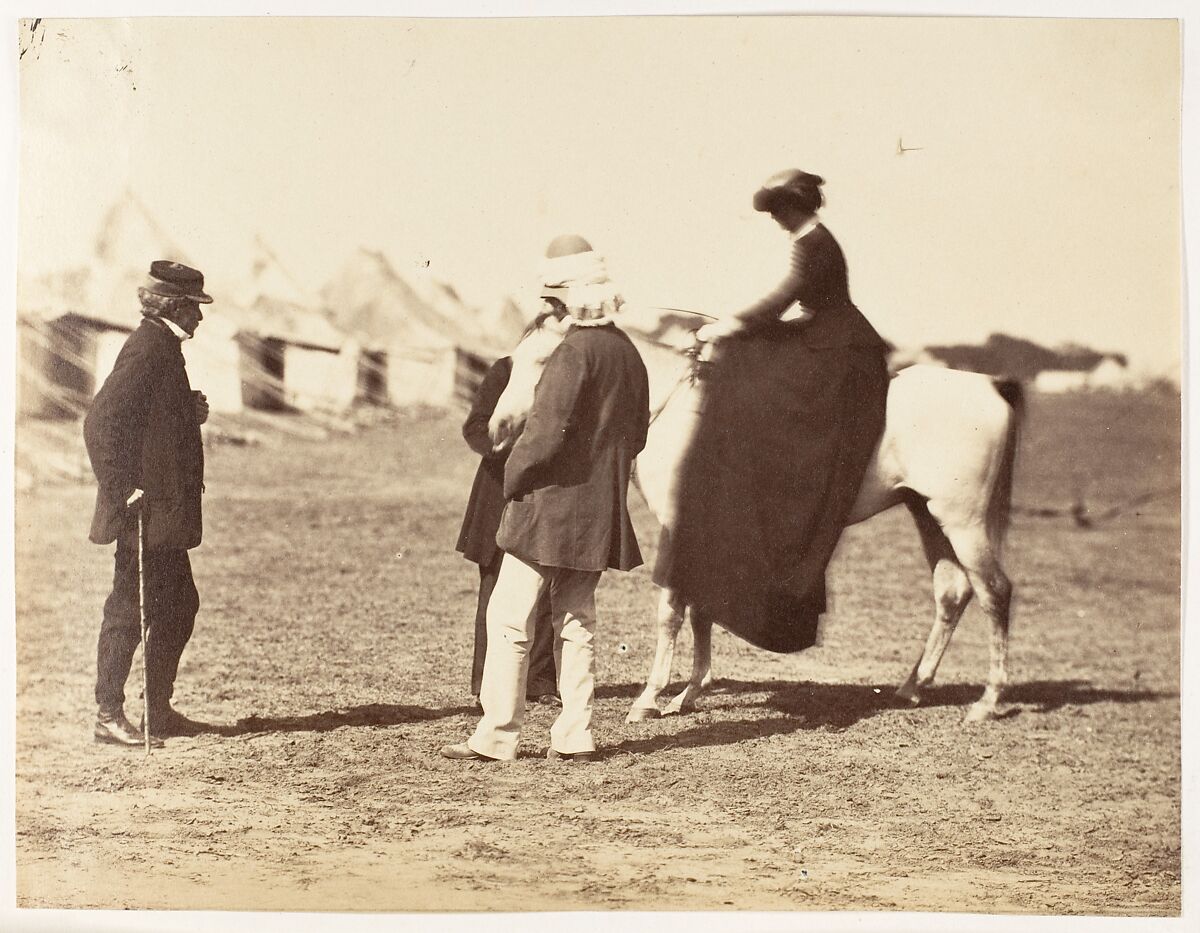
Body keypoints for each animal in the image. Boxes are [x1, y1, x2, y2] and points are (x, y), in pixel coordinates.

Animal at [487, 309, 1022, 724]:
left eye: (544, 360)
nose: (497, 429)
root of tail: (989, 387)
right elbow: (699, 608)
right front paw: (688, 694)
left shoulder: (678, 528)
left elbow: (671, 611)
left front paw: (649, 699)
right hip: (928, 515)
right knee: (952, 593)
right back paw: (913, 685)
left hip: (963, 521)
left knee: (995, 592)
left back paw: (988, 701)